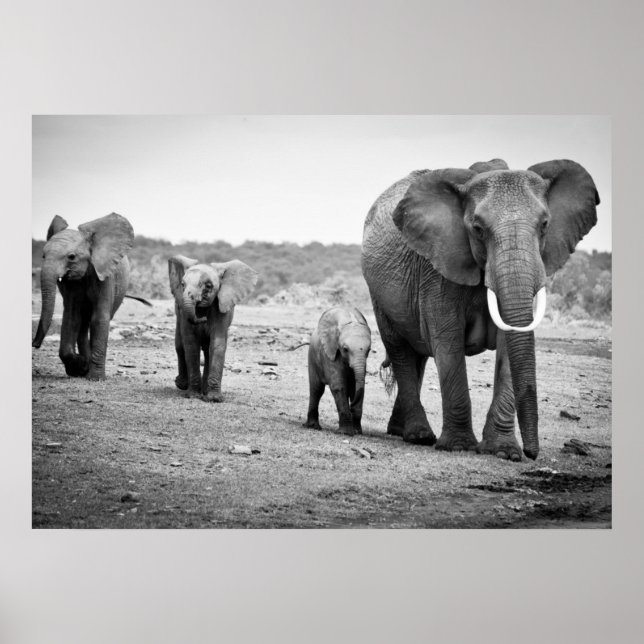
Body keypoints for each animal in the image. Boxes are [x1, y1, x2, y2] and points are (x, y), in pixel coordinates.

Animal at [32, 213, 138, 380]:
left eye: (71, 257)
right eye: (43, 255)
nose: (35, 344)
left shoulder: (105, 275)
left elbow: (100, 319)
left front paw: (95, 378)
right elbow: (71, 317)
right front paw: (80, 367)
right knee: (82, 323)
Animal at [168, 255, 258, 402]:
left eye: (209, 286)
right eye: (182, 285)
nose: (202, 319)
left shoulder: (221, 307)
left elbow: (217, 344)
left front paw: (214, 399)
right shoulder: (182, 312)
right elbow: (191, 345)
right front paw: (193, 395)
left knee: (207, 350)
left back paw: (204, 391)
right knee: (180, 345)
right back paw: (182, 385)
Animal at [303, 307, 371, 435]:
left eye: (369, 350)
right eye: (345, 349)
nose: (352, 407)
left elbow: (357, 387)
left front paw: (357, 431)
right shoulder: (330, 353)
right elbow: (338, 386)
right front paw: (345, 433)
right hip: (313, 357)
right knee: (316, 390)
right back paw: (313, 427)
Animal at [362, 159, 599, 460]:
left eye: (545, 224)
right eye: (477, 229)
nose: (532, 454)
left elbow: (510, 344)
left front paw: (504, 452)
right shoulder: (438, 269)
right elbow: (447, 341)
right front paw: (459, 446)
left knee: (418, 355)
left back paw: (400, 431)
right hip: (377, 292)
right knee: (400, 349)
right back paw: (419, 436)